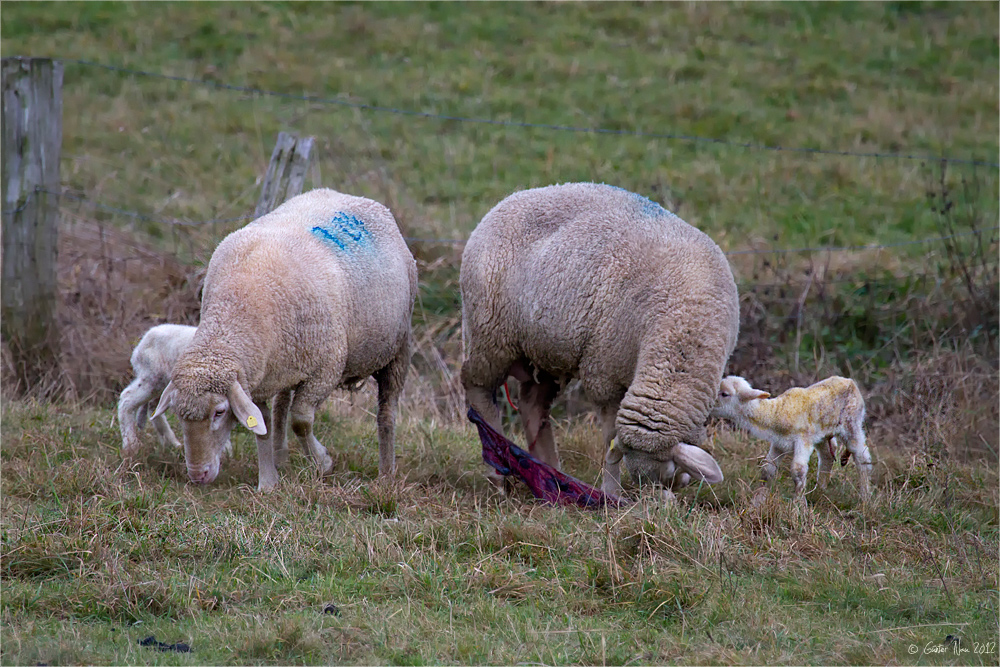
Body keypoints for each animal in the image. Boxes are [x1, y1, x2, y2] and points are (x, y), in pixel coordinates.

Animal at [155, 188, 418, 490]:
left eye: (219, 412)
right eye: (178, 414)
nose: (198, 475)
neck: (234, 312)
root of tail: (352, 196)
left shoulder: (325, 369)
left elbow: (301, 421)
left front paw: (323, 461)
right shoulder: (255, 378)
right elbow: (262, 427)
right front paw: (268, 482)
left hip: (397, 349)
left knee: (387, 412)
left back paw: (386, 472)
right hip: (286, 360)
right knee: (281, 404)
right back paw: (281, 456)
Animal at [708, 376, 872, 500]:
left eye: (724, 394)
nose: (710, 405)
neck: (777, 412)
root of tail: (850, 381)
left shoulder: (803, 440)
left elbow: (798, 471)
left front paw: (798, 506)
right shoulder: (779, 443)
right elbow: (767, 469)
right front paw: (758, 500)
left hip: (852, 422)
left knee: (861, 456)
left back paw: (865, 496)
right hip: (822, 434)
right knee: (827, 455)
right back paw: (821, 489)